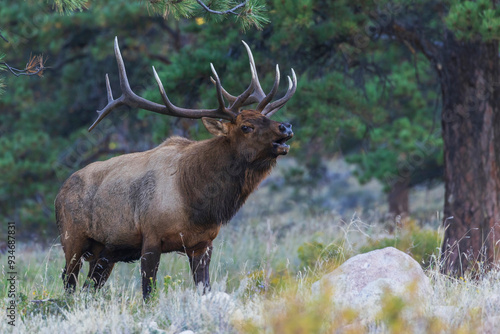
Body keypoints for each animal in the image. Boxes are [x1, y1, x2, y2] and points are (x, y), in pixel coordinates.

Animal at [54, 37, 296, 300]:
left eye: (267, 118)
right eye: (246, 126)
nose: (286, 126)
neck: (196, 200)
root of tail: (59, 192)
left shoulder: (203, 243)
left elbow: (204, 288)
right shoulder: (150, 237)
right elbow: (148, 293)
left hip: (104, 253)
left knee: (88, 289)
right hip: (72, 240)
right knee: (68, 283)